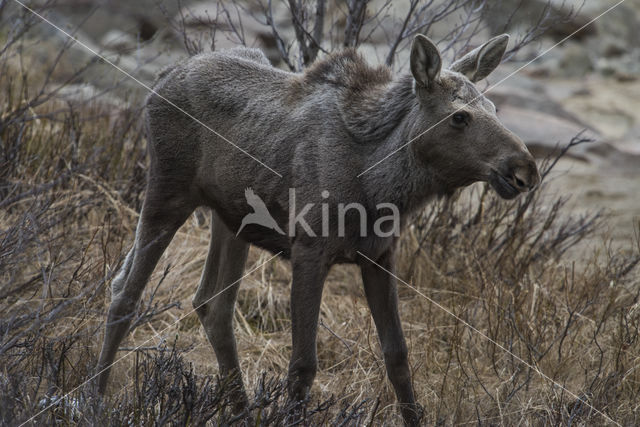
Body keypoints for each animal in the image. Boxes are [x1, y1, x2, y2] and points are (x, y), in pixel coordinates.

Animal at [96, 33, 540, 424]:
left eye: (495, 108)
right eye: (459, 117)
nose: (524, 169)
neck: (380, 184)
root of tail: (162, 78)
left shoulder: (380, 255)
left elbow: (397, 356)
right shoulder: (309, 250)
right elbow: (303, 365)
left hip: (231, 218)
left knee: (212, 305)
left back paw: (240, 412)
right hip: (167, 192)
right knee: (124, 295)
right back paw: (93, 397)